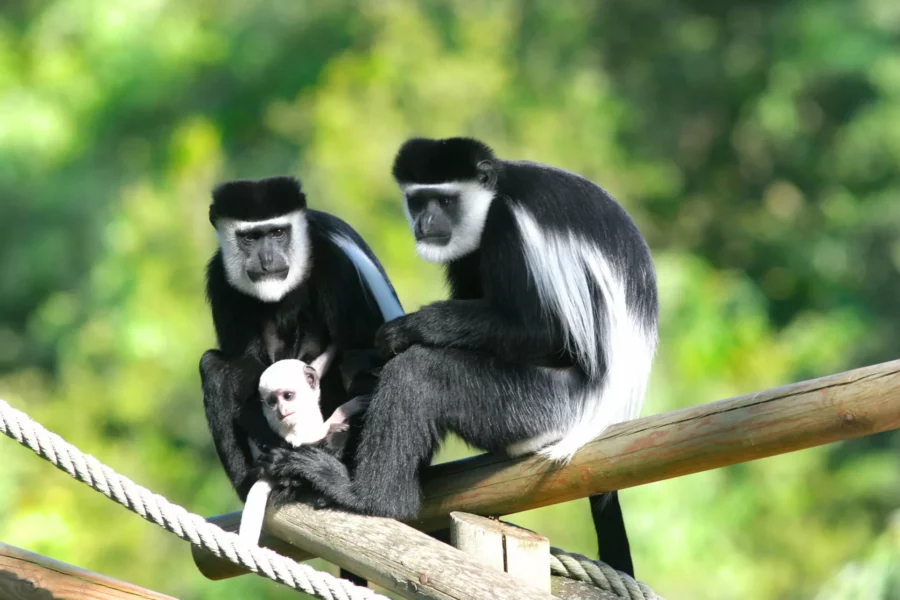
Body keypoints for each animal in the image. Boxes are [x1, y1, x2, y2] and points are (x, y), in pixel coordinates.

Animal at [204, 177, 404, 502]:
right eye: (250, 238)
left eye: (277, 232)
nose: (267, 259)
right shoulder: (221, 279)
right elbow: (244, 368)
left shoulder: (337, 265)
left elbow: (364, 352)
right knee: (212, 366)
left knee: (353, 364)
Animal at [256, 137, 656, 576]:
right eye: (418, 200)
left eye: (445, 201)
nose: (426, 223)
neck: (495, 195)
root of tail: (600, 416)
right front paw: (367, 359)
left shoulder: (509, 229)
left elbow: (543, 331)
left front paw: (409, 329)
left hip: (540, 405)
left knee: (420, 374)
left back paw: (367, 496)